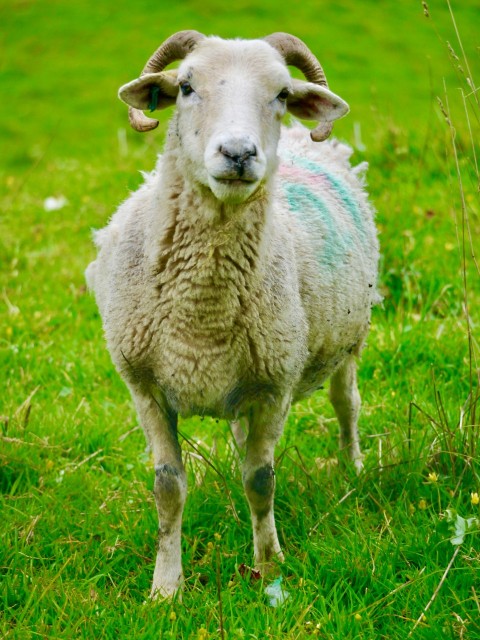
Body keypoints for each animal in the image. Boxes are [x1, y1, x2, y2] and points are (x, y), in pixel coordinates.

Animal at [86, 30, 380, 599]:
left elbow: (260, 481)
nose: (239, 152)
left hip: (347, 339)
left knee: (346, 404)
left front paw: (269, 567)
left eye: (283, 94)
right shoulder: (145, 387)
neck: (201, 312)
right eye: (185, 86)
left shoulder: (275, 386)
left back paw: (354, 467)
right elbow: (168, 487)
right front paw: (165, 588)